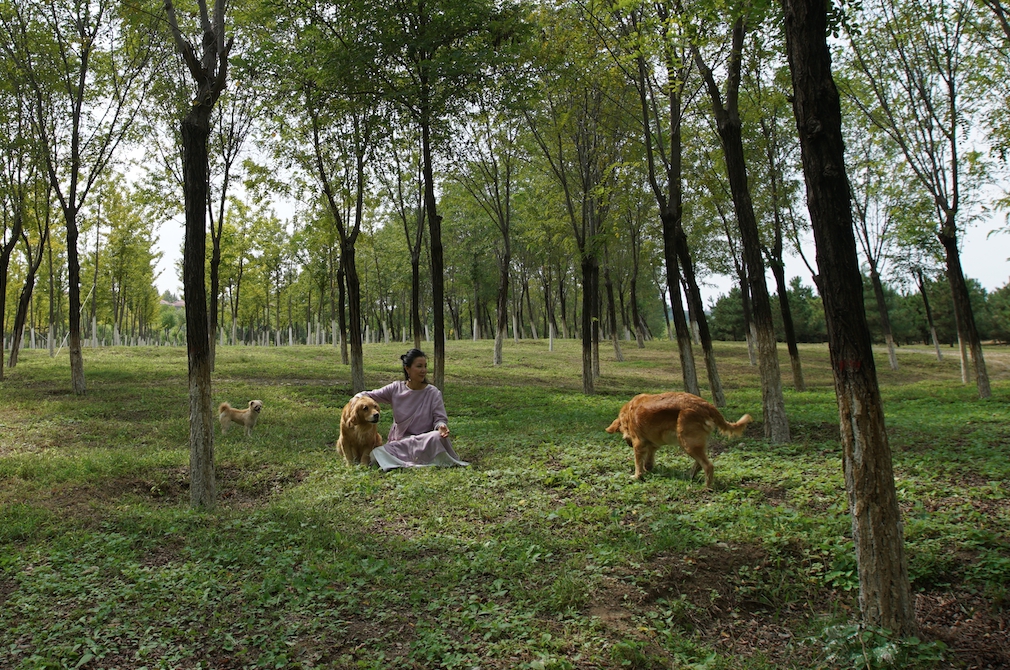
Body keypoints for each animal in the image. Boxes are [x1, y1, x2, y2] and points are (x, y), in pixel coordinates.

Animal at [606, 394, 751, 487]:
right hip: (693, 443)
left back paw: (706, 487)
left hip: (688, 443)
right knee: (700, 464)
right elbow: (649, 457)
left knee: (708, 466)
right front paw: (648, 468)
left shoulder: (638, 444)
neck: (628, 414)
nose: (629, 444)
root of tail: (705, 405)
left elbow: (638, 463)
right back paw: (690, 476)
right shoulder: (653, 443)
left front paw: (637, 476)